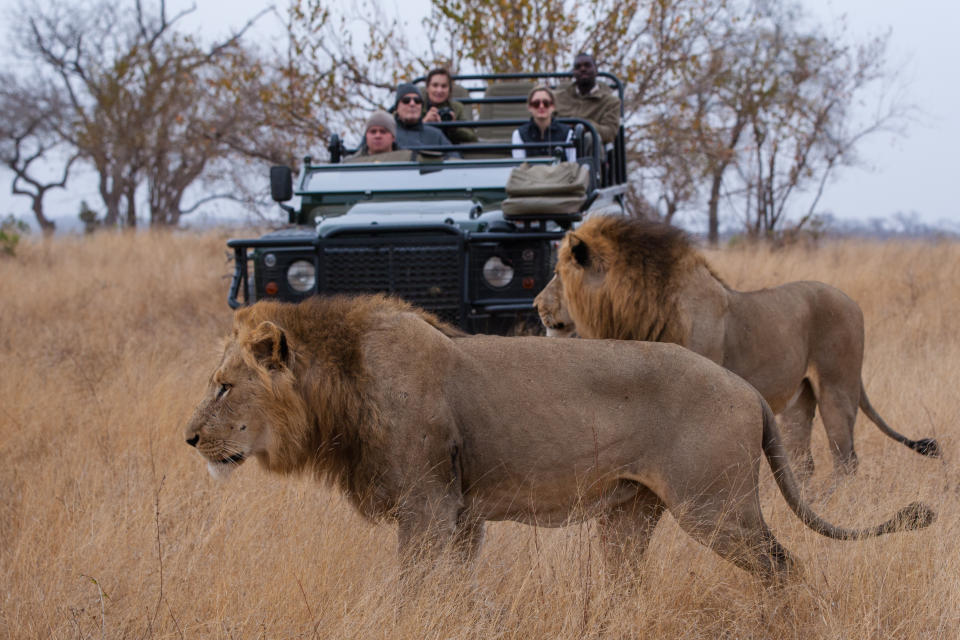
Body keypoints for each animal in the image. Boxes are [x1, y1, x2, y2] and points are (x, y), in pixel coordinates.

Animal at [184, 292, 932, 584]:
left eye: (223, 386)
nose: (188, 439)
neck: (341, 386)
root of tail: (748, 392)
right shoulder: (460, 514)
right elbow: (453, 590)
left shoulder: (426, 507)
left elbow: (415, 588)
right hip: (629, 516)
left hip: (718, 509)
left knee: (787, 569)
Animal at [536, 215, 940, 476]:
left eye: (556, 273)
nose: (537, 306)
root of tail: (851, 301)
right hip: (799, 400)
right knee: (804, 462)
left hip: (837, 389)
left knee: (845, 460)